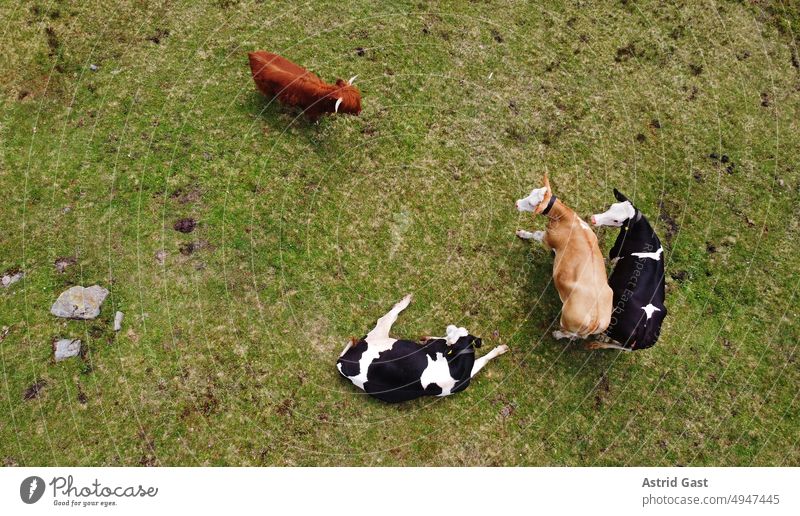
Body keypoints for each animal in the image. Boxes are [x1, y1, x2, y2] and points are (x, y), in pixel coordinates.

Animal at [336, 294, 510, 404]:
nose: (450, 326)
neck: (457, 371)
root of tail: (343, 363)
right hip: (379, 335)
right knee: (385, 318)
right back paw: (405, 300)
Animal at [588, 189, 668, 350]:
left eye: (616, 221)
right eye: (611, 206)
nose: (593, 219)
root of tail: (643, 331)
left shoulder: (616, 249)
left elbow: (611, 258)